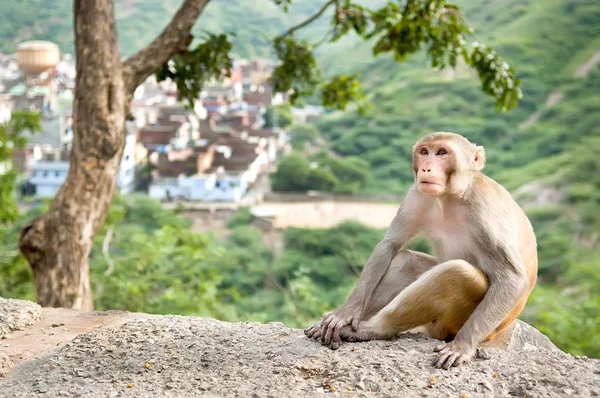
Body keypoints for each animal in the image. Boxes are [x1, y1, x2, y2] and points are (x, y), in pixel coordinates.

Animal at [304, 131, 540, 370]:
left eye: (442, 152)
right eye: (424, 152)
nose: (426, 168)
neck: (451, 196)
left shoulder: (485, 208)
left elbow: (511, 277)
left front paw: (462, 346)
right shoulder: (416, 194)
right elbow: (390, 244)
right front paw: (345, 313)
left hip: (454, 324)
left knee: (458, 272)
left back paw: (372, 330)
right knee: (405, 260)